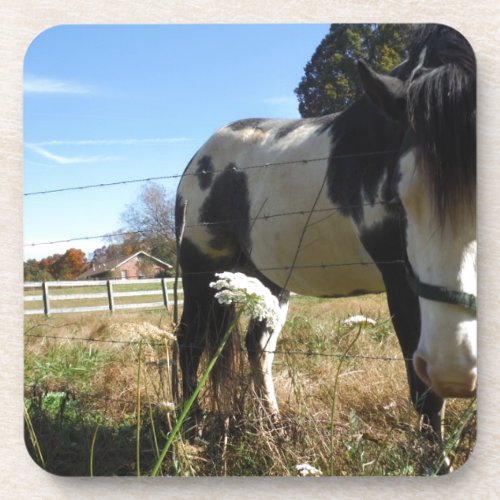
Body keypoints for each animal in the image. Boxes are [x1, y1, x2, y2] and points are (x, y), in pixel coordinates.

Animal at [176, 24, 476, 438]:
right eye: (398, 197)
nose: (456, 368)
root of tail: (197, 160)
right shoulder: (402, 283)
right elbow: (425, 394)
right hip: (201, 273)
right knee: (189, 343)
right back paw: (188, 428)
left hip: (266, 281)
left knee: (257, 345)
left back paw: (273, 425)